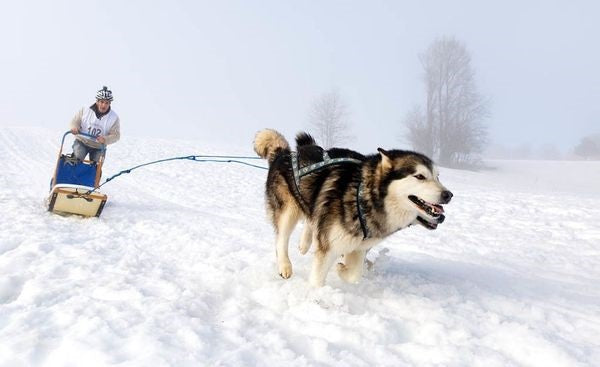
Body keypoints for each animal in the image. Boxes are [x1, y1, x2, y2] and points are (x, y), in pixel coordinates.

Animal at [251, 129, 452, 288]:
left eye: (437, 176)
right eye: (420, 176)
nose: (448, 194)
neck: (362, 197)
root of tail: (284, 153)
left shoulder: (359, 247)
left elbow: (354, 274)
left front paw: (342, 268)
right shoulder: (329, 248)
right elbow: (318, 279)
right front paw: (316, 298)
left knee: (311, 219)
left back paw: (305, 243)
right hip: (288, 211)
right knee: (281, 239)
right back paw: (285, 265)